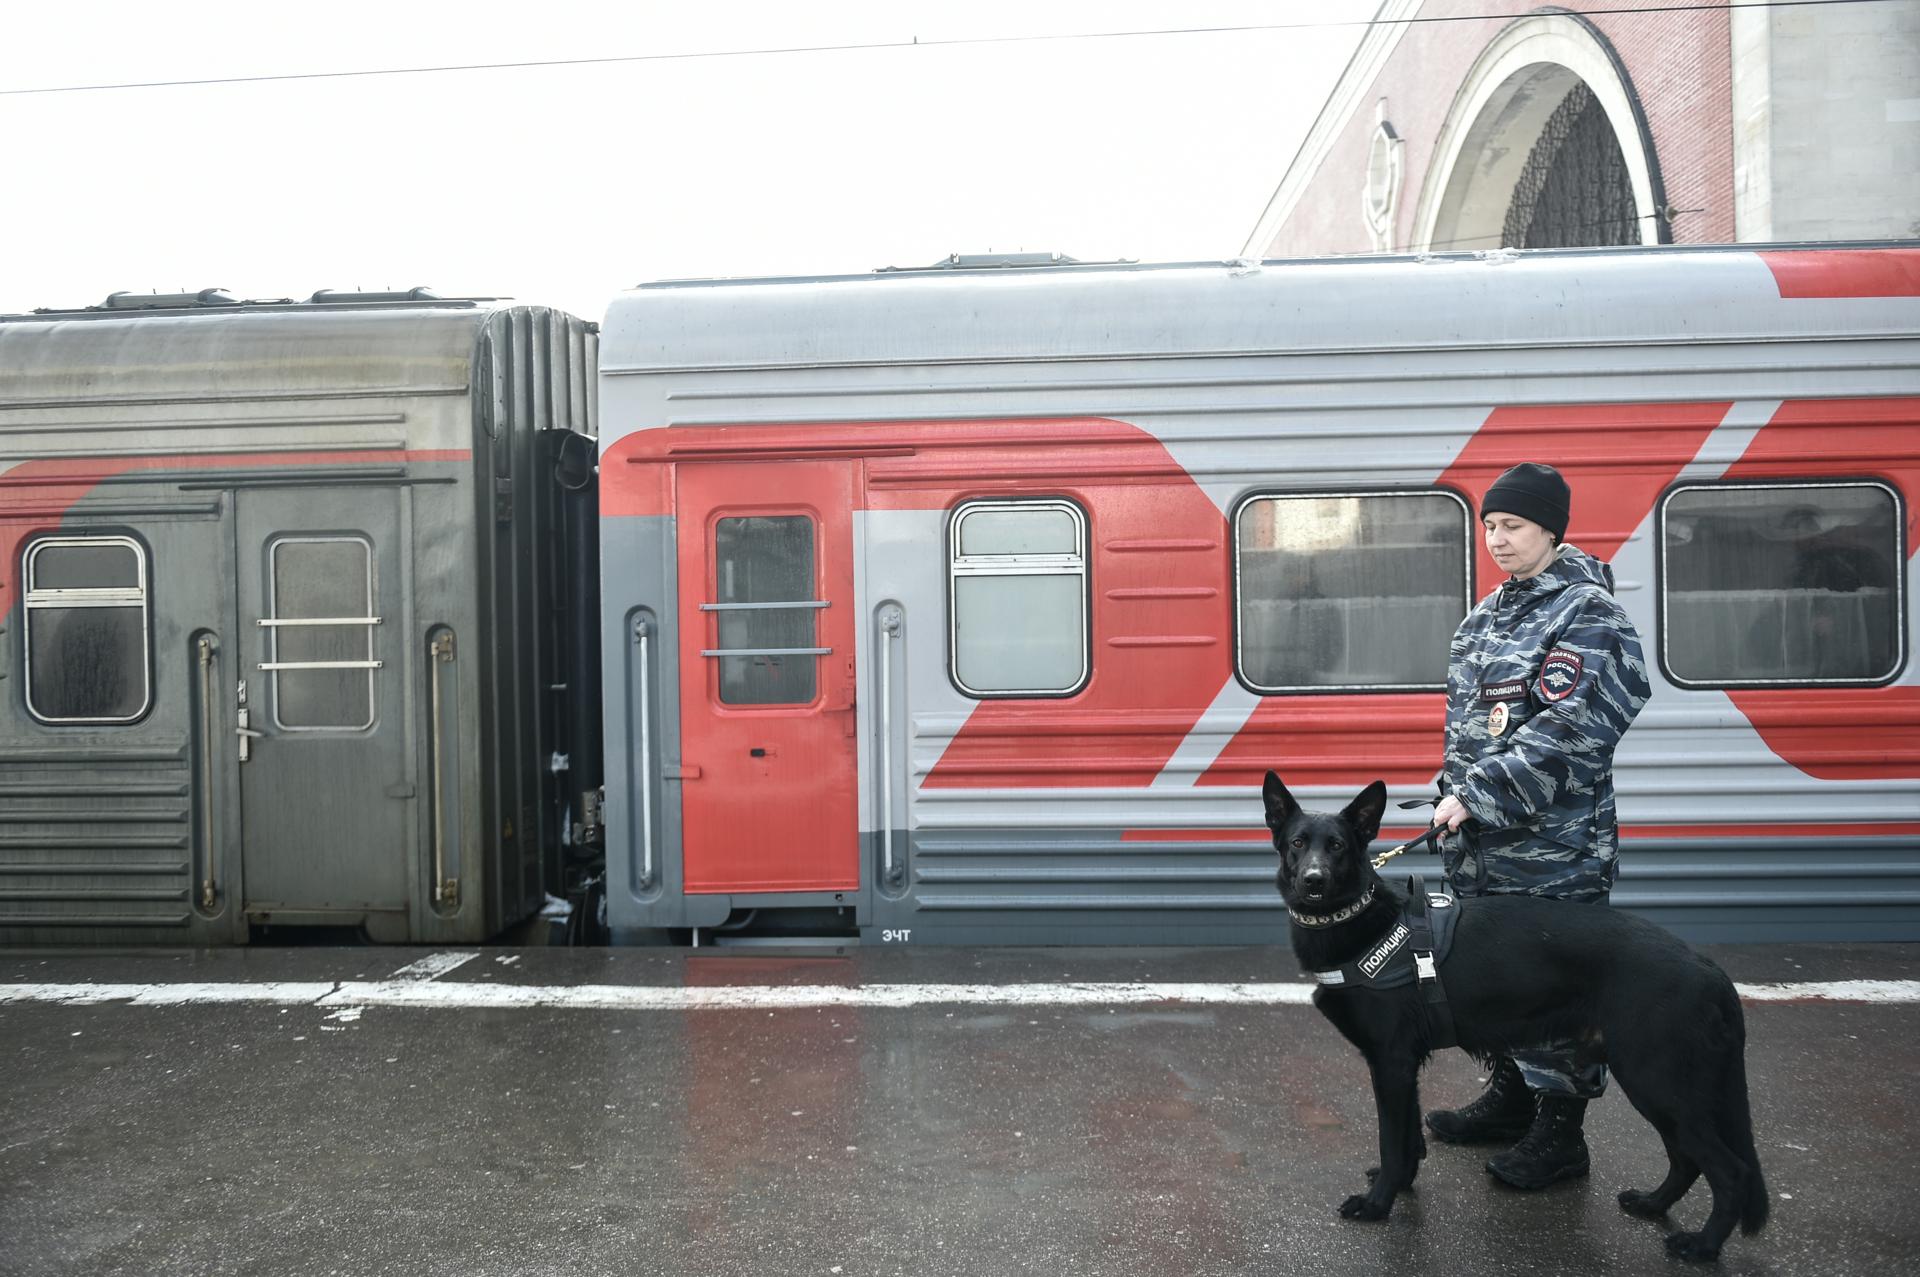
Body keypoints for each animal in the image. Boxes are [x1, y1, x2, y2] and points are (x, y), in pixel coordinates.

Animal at [1267, 771, 1774, 1259]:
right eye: (1298, 843)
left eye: (1337, 846)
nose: (1313, 880)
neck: (1361, 920)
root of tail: (1709, 969)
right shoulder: (1403, 1068)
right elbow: (1409, 1139)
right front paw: (1402, 1185)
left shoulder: (1391, 1064)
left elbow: (1392, 1141)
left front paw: (1378, 1204)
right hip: (1661, 1089)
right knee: (1686, 1158)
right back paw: (1653, 1204)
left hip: (1656, 1082)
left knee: (1730, 1170)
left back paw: (1702, 1247)